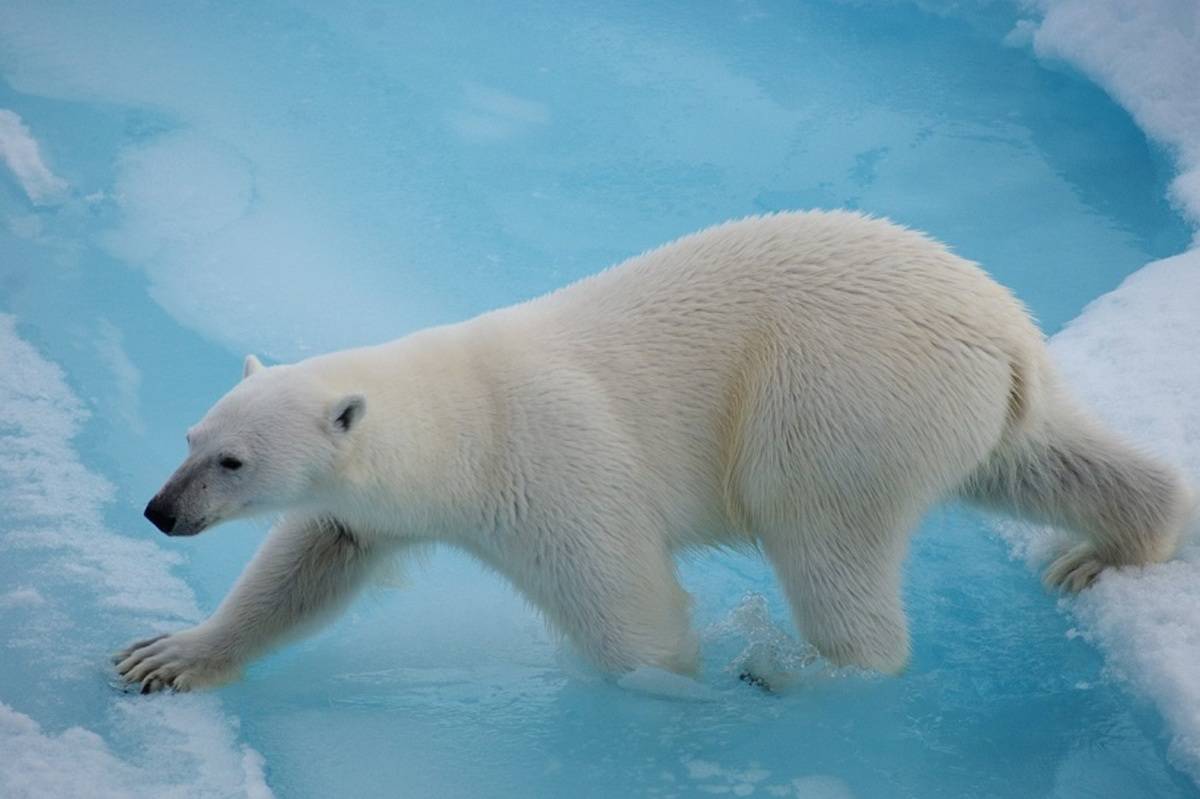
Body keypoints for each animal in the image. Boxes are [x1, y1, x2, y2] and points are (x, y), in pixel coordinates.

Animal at [114, 211, 1190, 691]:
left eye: (233, 461)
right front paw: (167, 654)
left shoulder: (553, 470)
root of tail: (1004, 334)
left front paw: (676, 689)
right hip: (978, 406)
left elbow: (628, 612)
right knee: (1045, 461)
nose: (161, 510)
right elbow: (309, 565)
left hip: (838, 401)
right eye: (192, 438)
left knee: (829, 550)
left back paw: (796, 671)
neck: (465, 427)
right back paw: (1110, 546)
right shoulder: (368, 511)